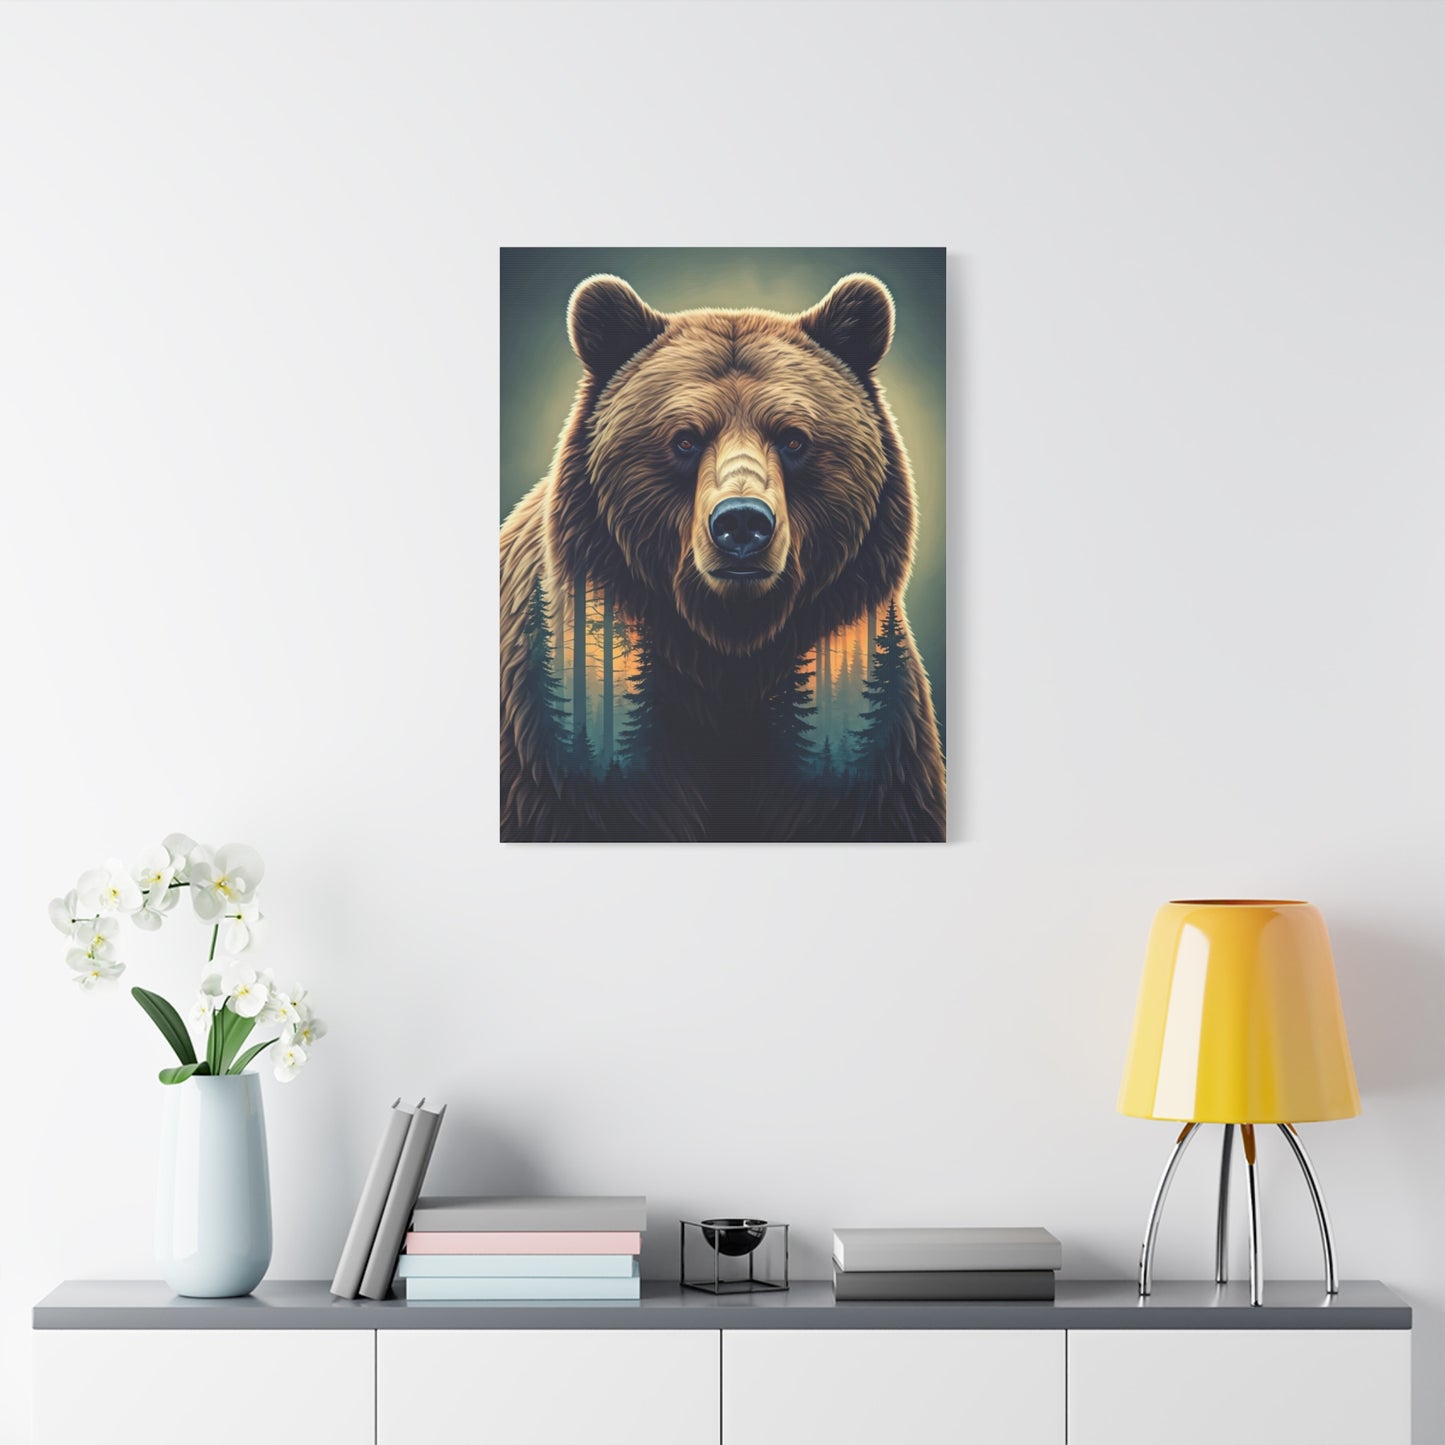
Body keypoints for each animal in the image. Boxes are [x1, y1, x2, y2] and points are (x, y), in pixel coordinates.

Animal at [500, 272, 946, 842]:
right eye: (685, 439)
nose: (741, 523)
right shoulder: (562, 744)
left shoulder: (867, 743)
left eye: (794, 438)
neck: (726, 659)